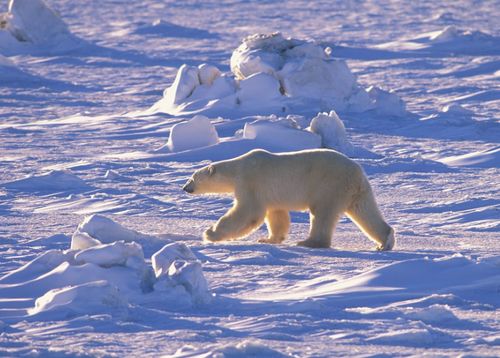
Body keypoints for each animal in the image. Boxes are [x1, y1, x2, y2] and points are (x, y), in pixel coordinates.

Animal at [182, 148, 396, 249]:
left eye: (192, 178)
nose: (185, 188)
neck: (237, 168)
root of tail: (357, 173)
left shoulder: (250, 182)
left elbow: (248, 212)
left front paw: (209, 233)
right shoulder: (270, 194)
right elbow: (277, 215)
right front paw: (268, 239)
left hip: (329, 186)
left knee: (322, 214)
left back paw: (309, 242)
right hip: (357, 192)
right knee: (366, 212)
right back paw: (385, 241)